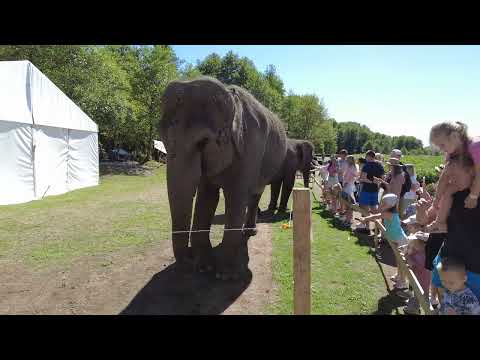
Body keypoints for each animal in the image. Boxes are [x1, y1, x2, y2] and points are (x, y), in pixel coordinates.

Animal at [159, 76, 286, 282]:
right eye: (162, 140)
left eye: (203, 142)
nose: (189, 257)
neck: (232, 102)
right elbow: (206, 197)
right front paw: (204, 267)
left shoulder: (250, 147)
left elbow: (235, 197)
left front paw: (225, 274)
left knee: (254, 194)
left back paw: (249, 233)